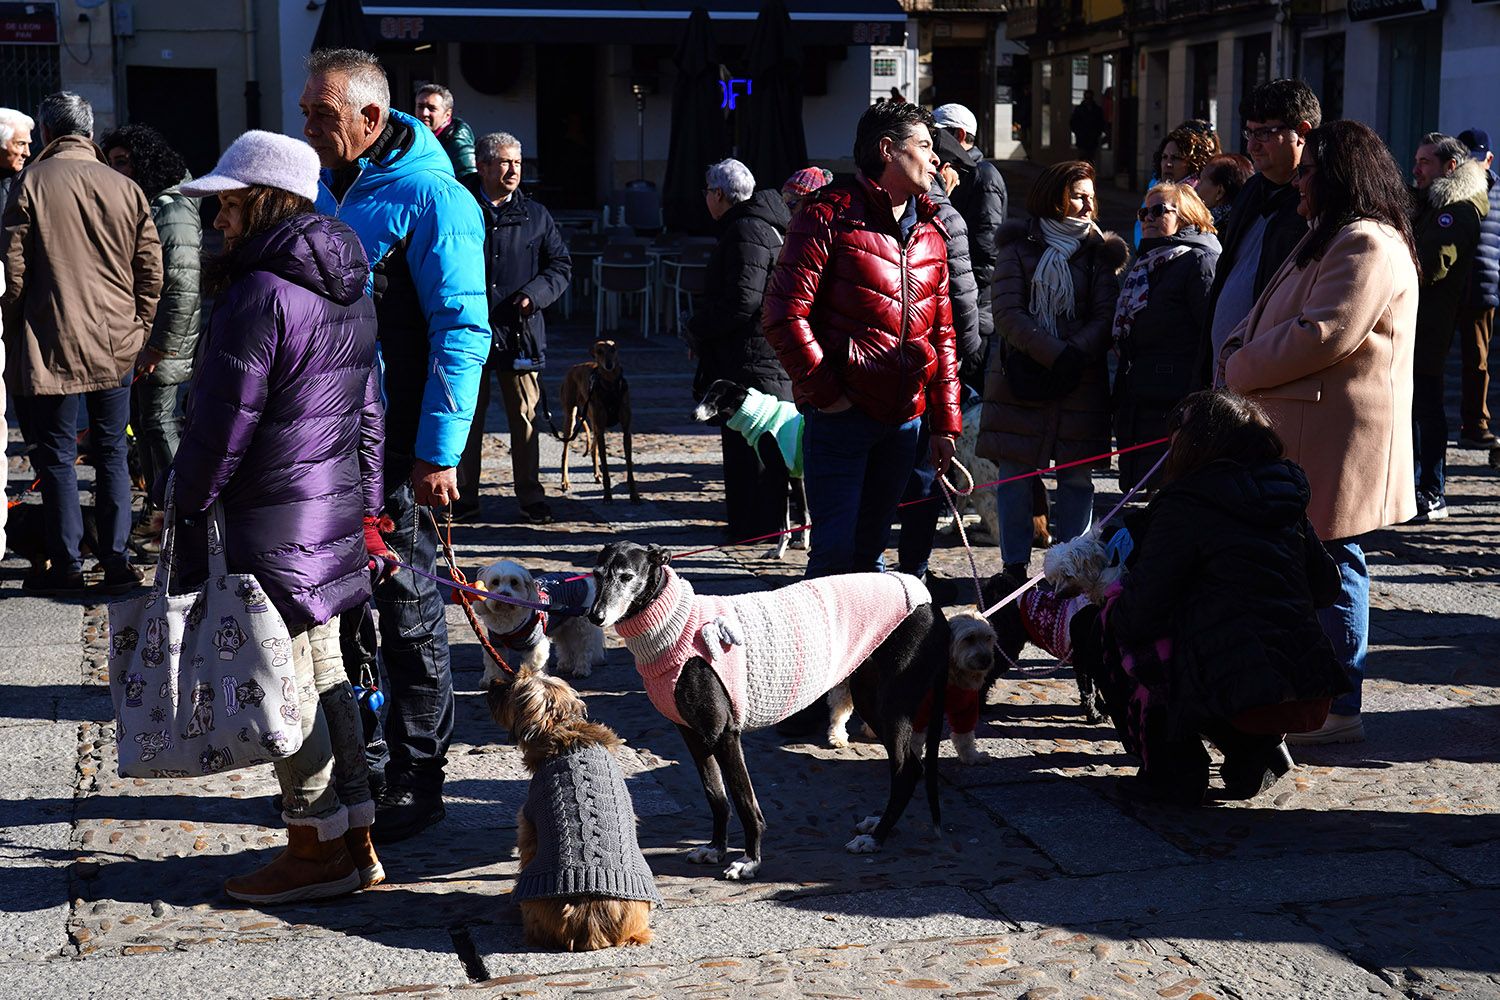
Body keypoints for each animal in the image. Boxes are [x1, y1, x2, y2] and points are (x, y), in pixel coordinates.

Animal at [471, 560, 606, 683]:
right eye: (495, 582)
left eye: (514, 582)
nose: (504, 594)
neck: (507, 615)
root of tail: (579, 575)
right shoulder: (495, 643)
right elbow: (493, 663)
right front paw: (491, 679)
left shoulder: (535, 643)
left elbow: (533, 665)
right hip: (561, 625)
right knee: (564, 645)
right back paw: (565, 665)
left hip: (580, 627)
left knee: (584, 647)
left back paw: (581, 670)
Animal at [588, 542, 948, 881]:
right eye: (596, 574)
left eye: (627, 577)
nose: (596, 617)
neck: (675, 625)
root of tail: (929, 602)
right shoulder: (693, 734)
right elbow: (716, 796)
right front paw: (715, 848)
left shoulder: (725, 735)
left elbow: (745, 802)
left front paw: (749, 861)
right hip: (870, 699)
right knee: (910, 767)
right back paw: (877, 825)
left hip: (892, 707)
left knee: (907, 770)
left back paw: (877, 838)